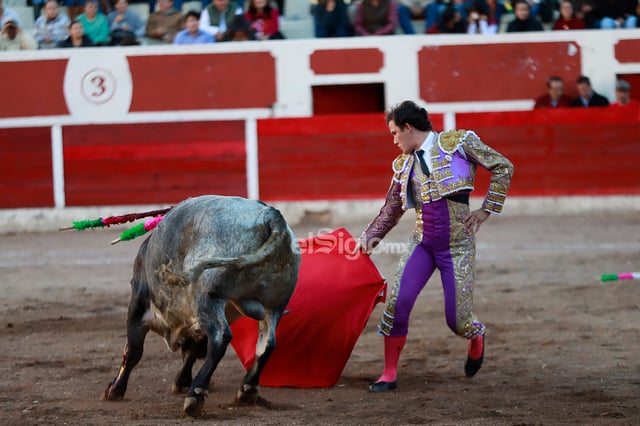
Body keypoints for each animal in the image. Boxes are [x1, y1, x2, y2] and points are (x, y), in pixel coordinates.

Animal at [101, 195, 302, 418]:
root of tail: (272, 217)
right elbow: (191, 352)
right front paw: (181, 381)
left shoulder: (138, 305)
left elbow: (133, 351)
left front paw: (114, 390)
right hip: (275, 305)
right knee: (267, 343)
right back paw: (246, 391)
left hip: (208, 298)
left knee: (220, 337)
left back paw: (195, 395)